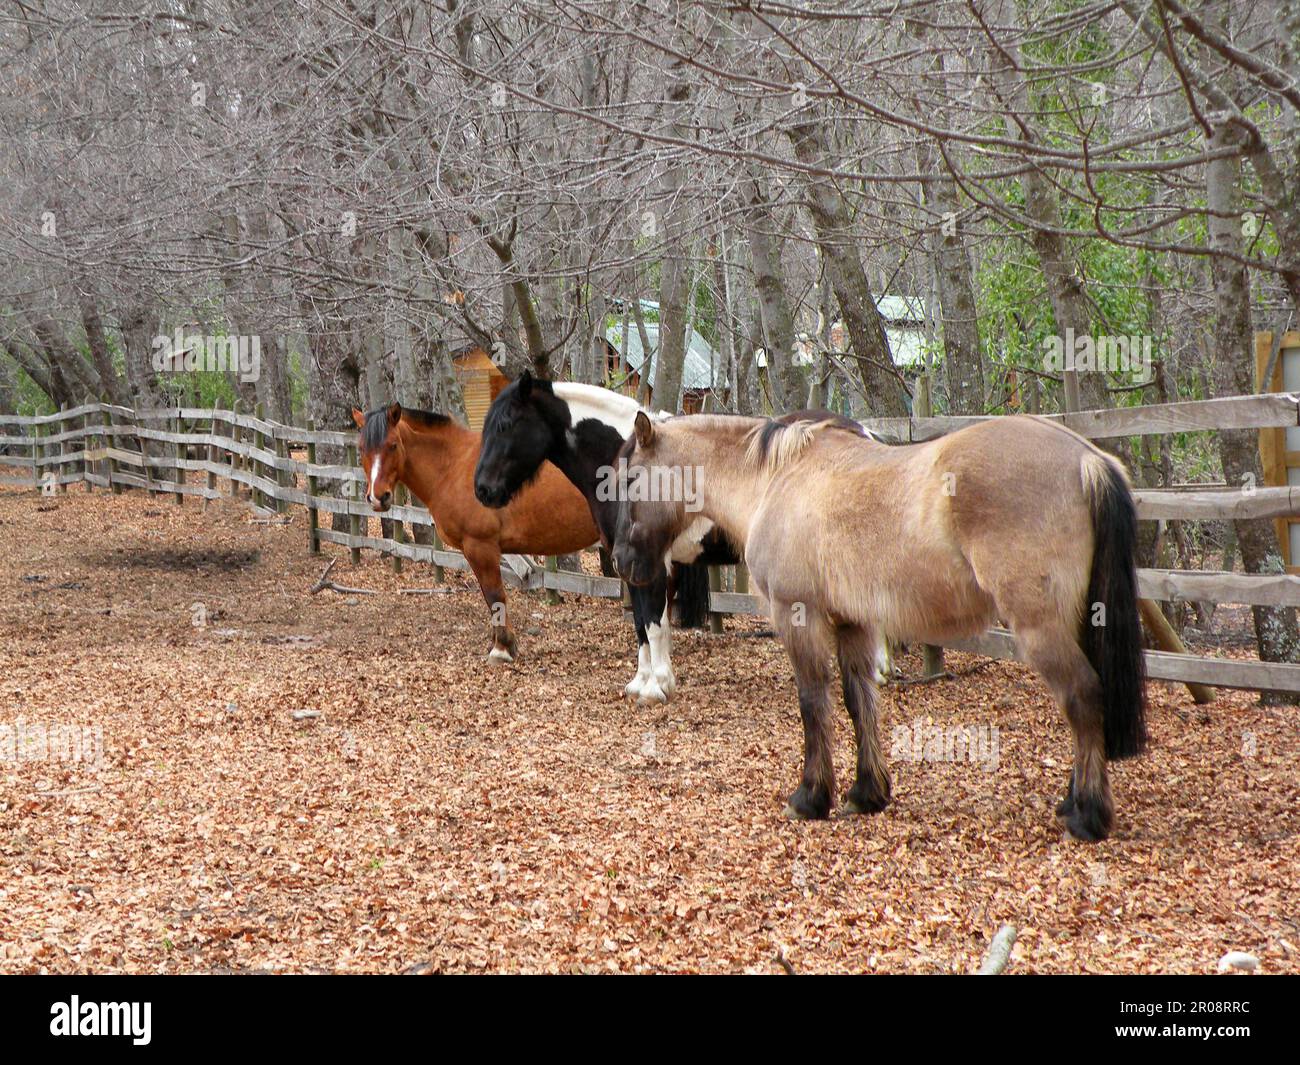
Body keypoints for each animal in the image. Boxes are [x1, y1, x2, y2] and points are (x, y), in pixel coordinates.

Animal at [352, 403, 600, 662]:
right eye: (362, 448)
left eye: (392, 445)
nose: (378, 497)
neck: (453, 465)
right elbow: (488, 597)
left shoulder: (481, 546)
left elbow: (494, 595)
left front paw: (502, 649)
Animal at [610, 411, 1147, 842]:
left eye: (632, 477)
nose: (621, 561)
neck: (776, 479)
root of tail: (1087, 458)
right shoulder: (853, 623)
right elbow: (859, 700)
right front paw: (867, 791)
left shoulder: (798, 615)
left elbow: (813, 702)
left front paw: (811, 797)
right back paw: (1072, 801)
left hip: (1040, 627)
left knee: (1082, 696)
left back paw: (1088, 816)